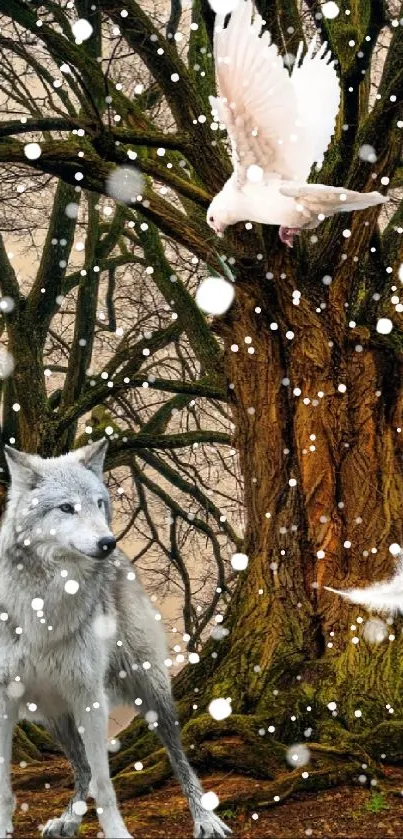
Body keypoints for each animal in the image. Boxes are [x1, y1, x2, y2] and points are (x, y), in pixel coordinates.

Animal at [0, 442, 230, 836]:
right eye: (66, 507)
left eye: (99, 503)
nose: (108, 542)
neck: (43, 604)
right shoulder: (5, 698)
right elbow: (5, 789)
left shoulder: (89, 695)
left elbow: (105, 785)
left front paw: (117, 832)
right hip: (52, 714)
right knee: (82, 767)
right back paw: (68, 820)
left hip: (149, 691)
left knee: (177, 757)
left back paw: (205, 819)